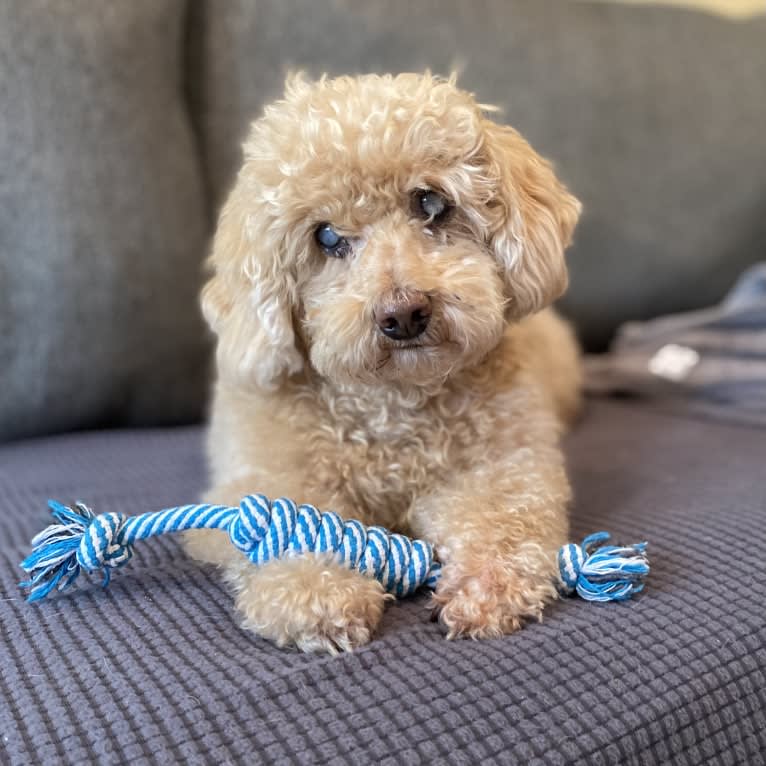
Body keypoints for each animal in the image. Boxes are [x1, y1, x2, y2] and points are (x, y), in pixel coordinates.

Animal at [186, 73, 584, 656]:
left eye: (431, 203)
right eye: (326, 236)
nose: (404, 313)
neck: (394, 407)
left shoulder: (505, 462)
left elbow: (501, 515)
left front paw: (487, 585)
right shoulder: (264, 474)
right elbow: (288, 522)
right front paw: (317, 595)